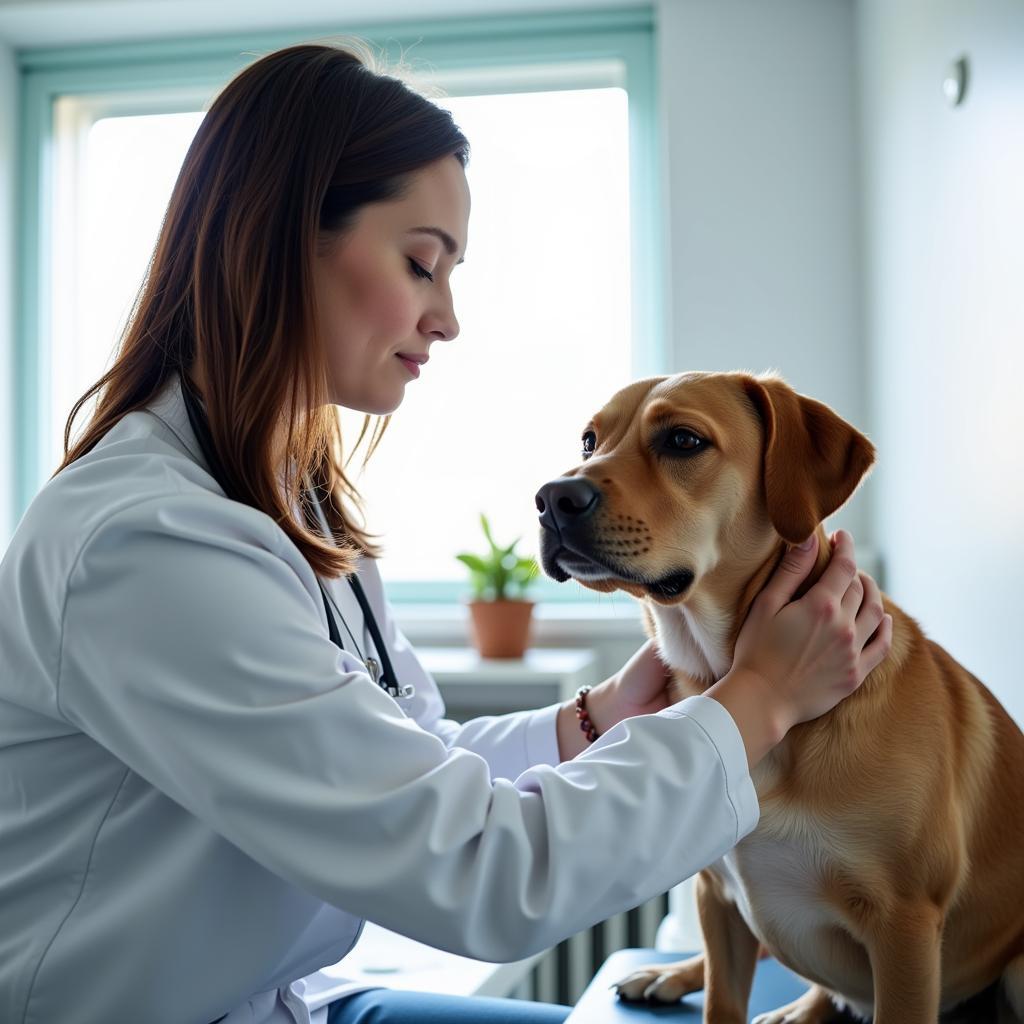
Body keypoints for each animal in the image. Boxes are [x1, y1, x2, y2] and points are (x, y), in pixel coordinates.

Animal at [536, 372, 1024, 1019]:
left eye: (683, 440)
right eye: (589, 440)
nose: (550, 498)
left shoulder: (906, 925)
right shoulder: (716, 896)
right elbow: (721, 1000)